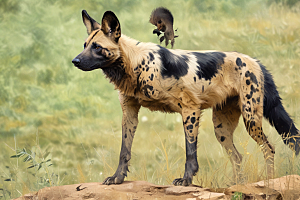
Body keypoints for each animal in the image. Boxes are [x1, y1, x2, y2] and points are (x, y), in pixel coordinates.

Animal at [72, 10, 300, 186]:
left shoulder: (190, 110)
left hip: (251, 119)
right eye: (84, 45)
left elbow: (190, 152)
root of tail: (255, 61)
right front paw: (117, 178)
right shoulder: (129, 114)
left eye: (97, 47)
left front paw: (186, 180)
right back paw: (237, 185)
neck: (136, 65)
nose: (75, 61)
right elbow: (124, 151)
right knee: (237, 156)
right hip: (222, 129)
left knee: (269, 149)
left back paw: (268, 183)